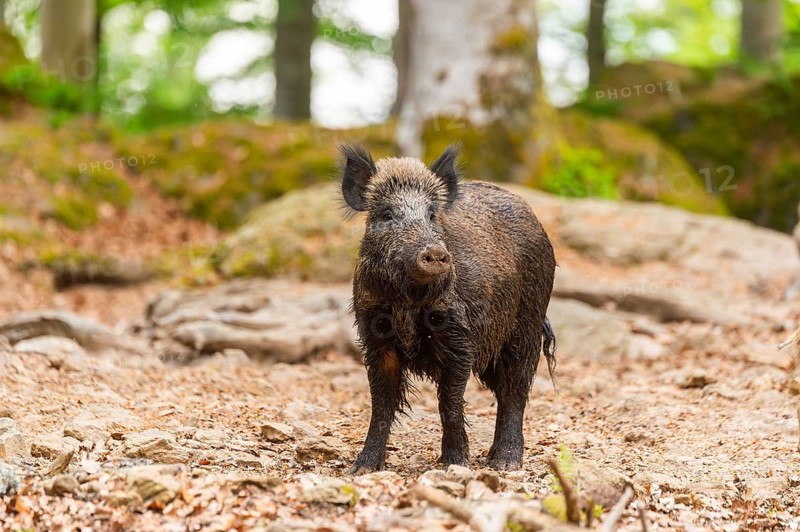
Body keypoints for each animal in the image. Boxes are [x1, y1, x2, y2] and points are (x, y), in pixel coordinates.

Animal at [342, 144, 556, 472]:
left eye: (431, 214)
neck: (409, 302)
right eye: (387, 214)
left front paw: (454, 464)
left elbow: (450, 402)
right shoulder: (374, 337)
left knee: (515, 390)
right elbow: (380, 404)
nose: (435, 252)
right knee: (504, 391)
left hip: (528, 322)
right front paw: (362, 468)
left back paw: (505, 464)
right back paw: (492, 458)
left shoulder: (459, 338)